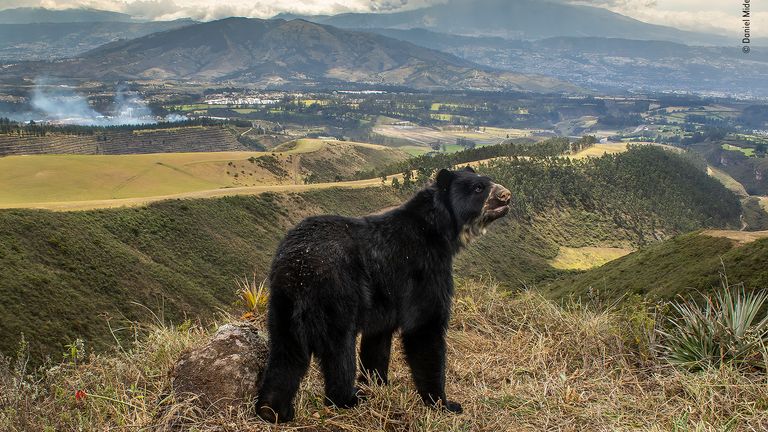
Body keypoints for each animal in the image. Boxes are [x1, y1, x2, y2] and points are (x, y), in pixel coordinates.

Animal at [255, 167, 512, 424]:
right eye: (478, 188)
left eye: (488, 181)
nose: (506, 195)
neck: (438, 229)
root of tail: (298, 266)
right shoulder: (423, 269)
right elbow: (425, 327)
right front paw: (444, 403)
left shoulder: (385, 299)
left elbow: (377, 339)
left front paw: (377, 383)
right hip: (336, 294)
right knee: (338, 352)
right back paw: (348, 399)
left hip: (282, 303)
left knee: (287, 354)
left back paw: (273, 410)